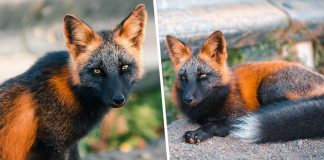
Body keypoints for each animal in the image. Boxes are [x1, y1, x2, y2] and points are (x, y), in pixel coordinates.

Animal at [0, 3, 147, 160]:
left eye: (124, 66)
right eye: (97, 71)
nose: (118, 99)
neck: (72, 91)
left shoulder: (71, 145)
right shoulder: (55, 146)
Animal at [166, 30, 324, 144]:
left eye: (203, 75)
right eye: (183, 77)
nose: (188, 99)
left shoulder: (240, 113)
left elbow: (217, 124)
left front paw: (199, 132)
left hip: (268, 88)